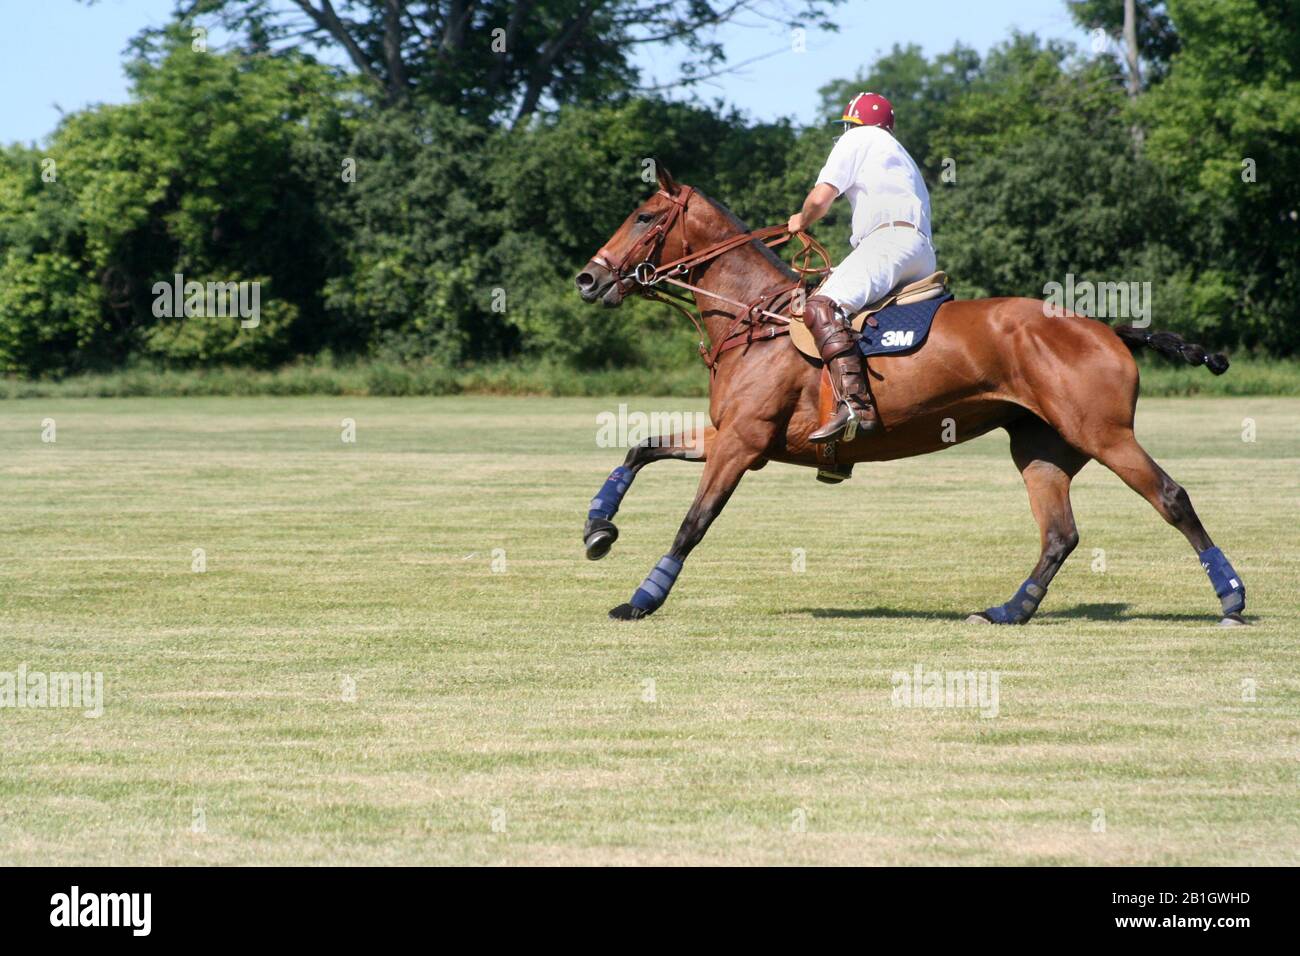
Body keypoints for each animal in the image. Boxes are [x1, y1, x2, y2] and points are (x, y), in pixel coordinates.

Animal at [574, 164, 1242, 629]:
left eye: (644, 216)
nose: (588, 278)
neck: (756, 318)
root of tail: (1108, 328)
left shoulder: (741, 443)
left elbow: (693, 523)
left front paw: (640, 600)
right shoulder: (731, 435)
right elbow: (639, 449)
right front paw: (598, 529)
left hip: (1103, 432)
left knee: (1171, 497)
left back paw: (1231, 597)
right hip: (1041, 446)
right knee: (1060, 535)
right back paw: (1008, 611)